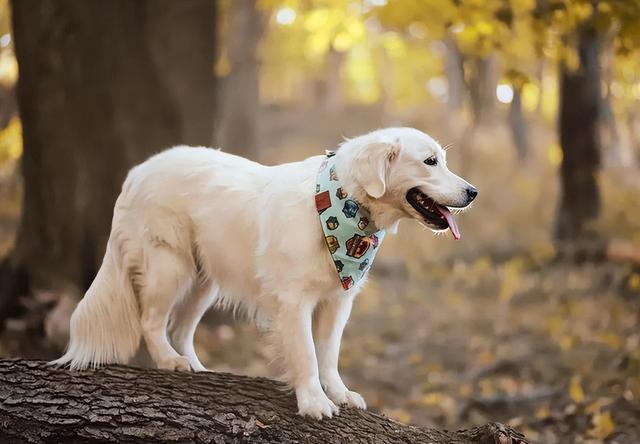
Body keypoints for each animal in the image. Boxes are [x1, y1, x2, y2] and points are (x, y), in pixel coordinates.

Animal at [53, 126, 476, 418]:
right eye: (430, 161)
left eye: (442, 160)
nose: (473, 192)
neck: (341, 209)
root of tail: (138, 171)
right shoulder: (294, 301)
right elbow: (306, 355)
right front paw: (313, 401)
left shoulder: (337, 301)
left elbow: (329, 353)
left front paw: (339, 393)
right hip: (169, 265)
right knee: (151, 321)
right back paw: (170, 361)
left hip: (204, 280)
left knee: (179, 328)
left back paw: (195, 365)